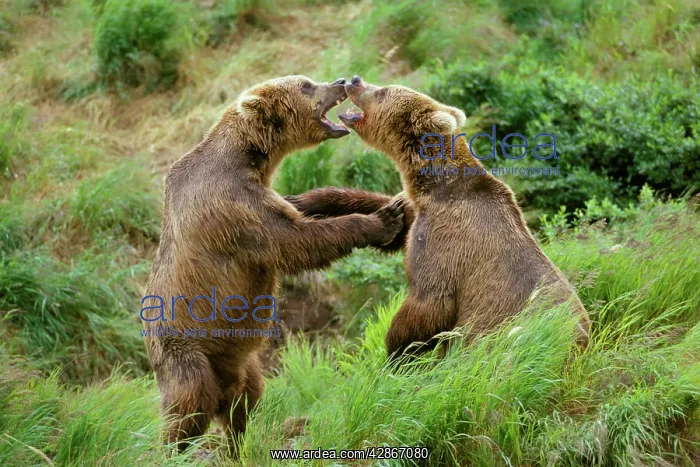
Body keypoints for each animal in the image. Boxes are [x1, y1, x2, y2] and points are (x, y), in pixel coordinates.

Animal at [141, 75, 405, 451]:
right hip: (185, 349)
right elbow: (291, 241)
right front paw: (382, 219)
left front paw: (316, 199)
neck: (249, 158)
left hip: (240, 360)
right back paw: (174, 448)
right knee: (189, 403)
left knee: (245, 400)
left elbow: (297, 218)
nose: (340, 80)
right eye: (307, 85)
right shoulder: (233, 207)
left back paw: (238, 444)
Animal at [288, 75, 590, 360]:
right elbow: (390, 220)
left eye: (383, 91)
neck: (434, 183)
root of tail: (583, 347)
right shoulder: (416, 208)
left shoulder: (447, 237)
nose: (355, 80)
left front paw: (394, 354)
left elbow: (429, 300)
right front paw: (305, 200)